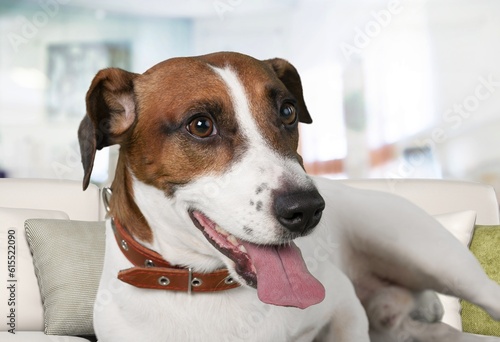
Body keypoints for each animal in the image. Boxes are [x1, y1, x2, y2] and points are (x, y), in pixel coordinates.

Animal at [78, 51, 500, 342]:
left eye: (287, 111)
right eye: (200, 125)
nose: (307, 209)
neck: (200, 285)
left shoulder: (344, 306)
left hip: (437, 259)